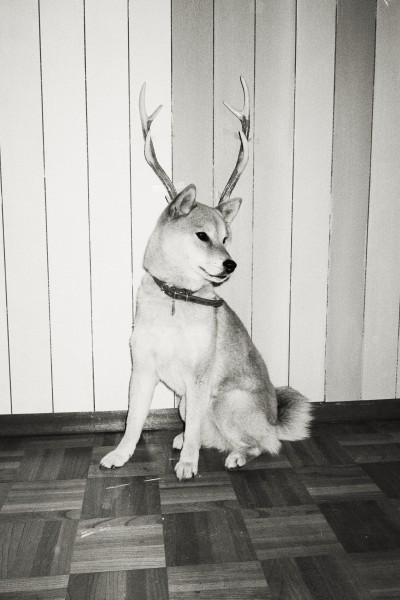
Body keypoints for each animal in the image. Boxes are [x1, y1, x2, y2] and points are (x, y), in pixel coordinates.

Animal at [100, 77, 312, 480]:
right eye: (202, 236)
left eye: (226, 237)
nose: (231, 265)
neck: (175, 298)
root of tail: (274, 419)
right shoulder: (143, 371)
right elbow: (133, 421)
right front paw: (121, 454)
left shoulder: (197, 378)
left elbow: (193, 427)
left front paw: (188, 464)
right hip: (186, 403)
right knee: (211, 433)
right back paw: (188, 440)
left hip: (226, 401)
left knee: (262, 445)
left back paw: (234, 455)